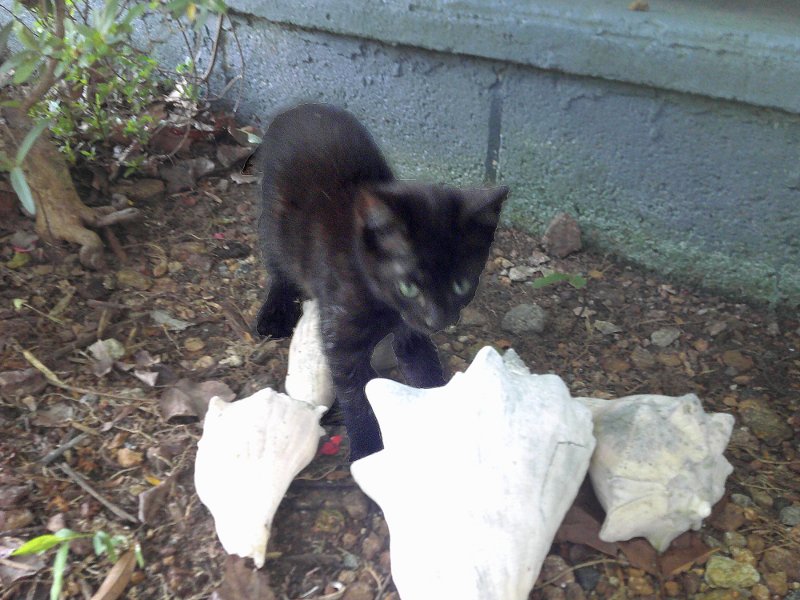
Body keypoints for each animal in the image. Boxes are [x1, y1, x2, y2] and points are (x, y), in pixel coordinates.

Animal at [256, 103, 508, 461]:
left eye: (461, 284)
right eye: (408, 287)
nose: (438, 320)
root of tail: (296, 108)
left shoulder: (412, 332)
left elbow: (424, 367)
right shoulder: (342, 342)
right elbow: (356, 395)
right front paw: (366, 450)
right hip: (274, 218)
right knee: (278, 263)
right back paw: (275, 311)